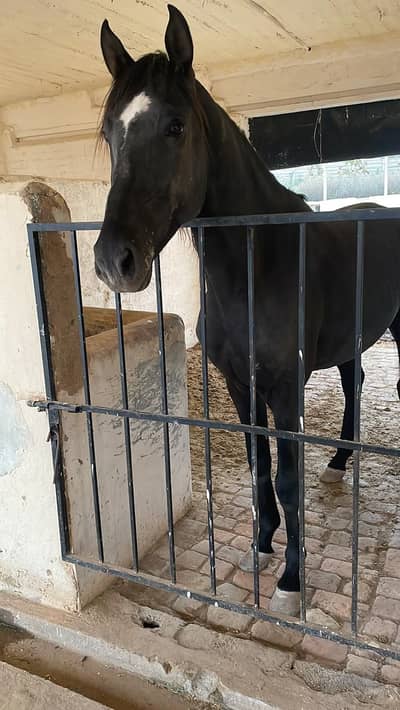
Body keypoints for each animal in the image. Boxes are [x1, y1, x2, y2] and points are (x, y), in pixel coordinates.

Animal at [94, 5, 400, 616]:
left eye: (175, 126)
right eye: (110, 132)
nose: (115, 260)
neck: (257, 267)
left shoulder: (285, 389)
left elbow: (286, 480)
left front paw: (291, 581)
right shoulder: (240, 385)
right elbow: (260, 470)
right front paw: (261, 548)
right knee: (354, 382)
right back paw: (339, 465)